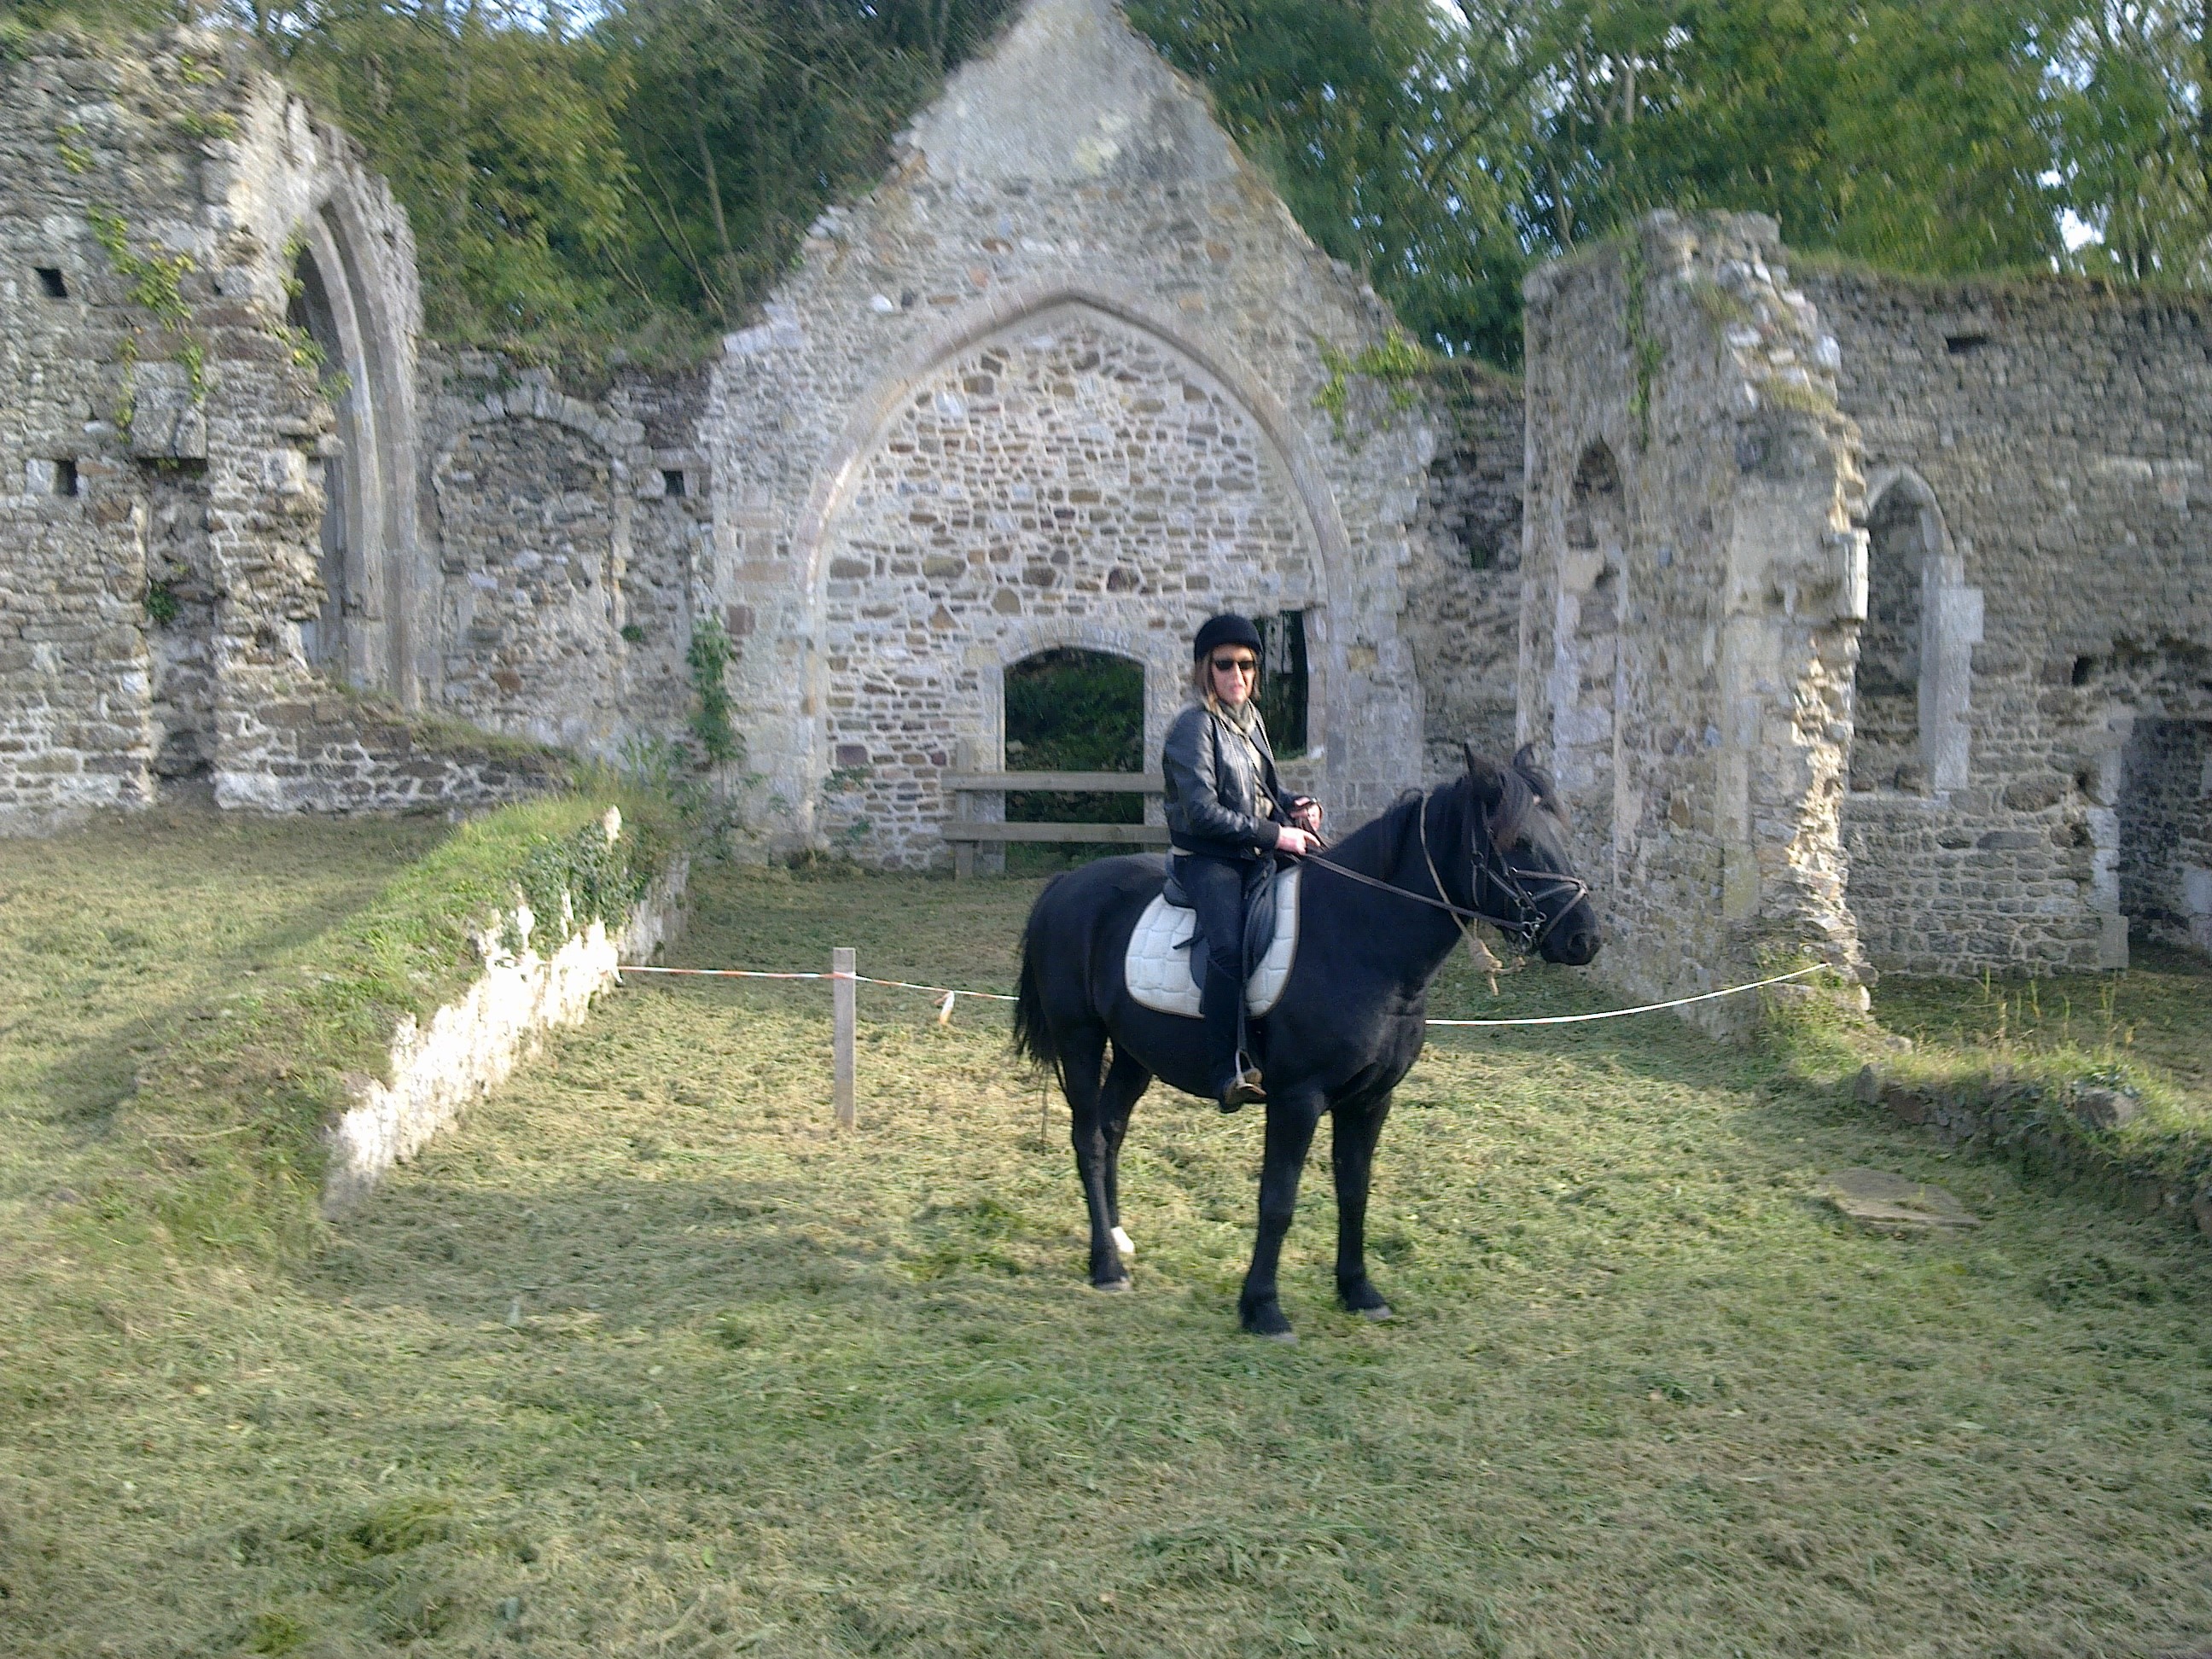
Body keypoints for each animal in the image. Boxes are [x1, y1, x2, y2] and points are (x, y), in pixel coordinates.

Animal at [1013, 748, 1601, 1344]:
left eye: (1560, 832)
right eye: (1518, 842)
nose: (1585, 939)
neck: (1360, 938)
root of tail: (1064, 885)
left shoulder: (1371, 1100)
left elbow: (1355, 1192)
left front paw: (1359, 1292)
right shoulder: (1298, 1098)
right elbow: (1278, 1200)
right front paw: (1263, 1309)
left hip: (1136, 1052)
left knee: (1111, 1129)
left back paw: (1116, 1239)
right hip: (1080, 1038)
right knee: (1089, 1138)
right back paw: (1106, 1266)